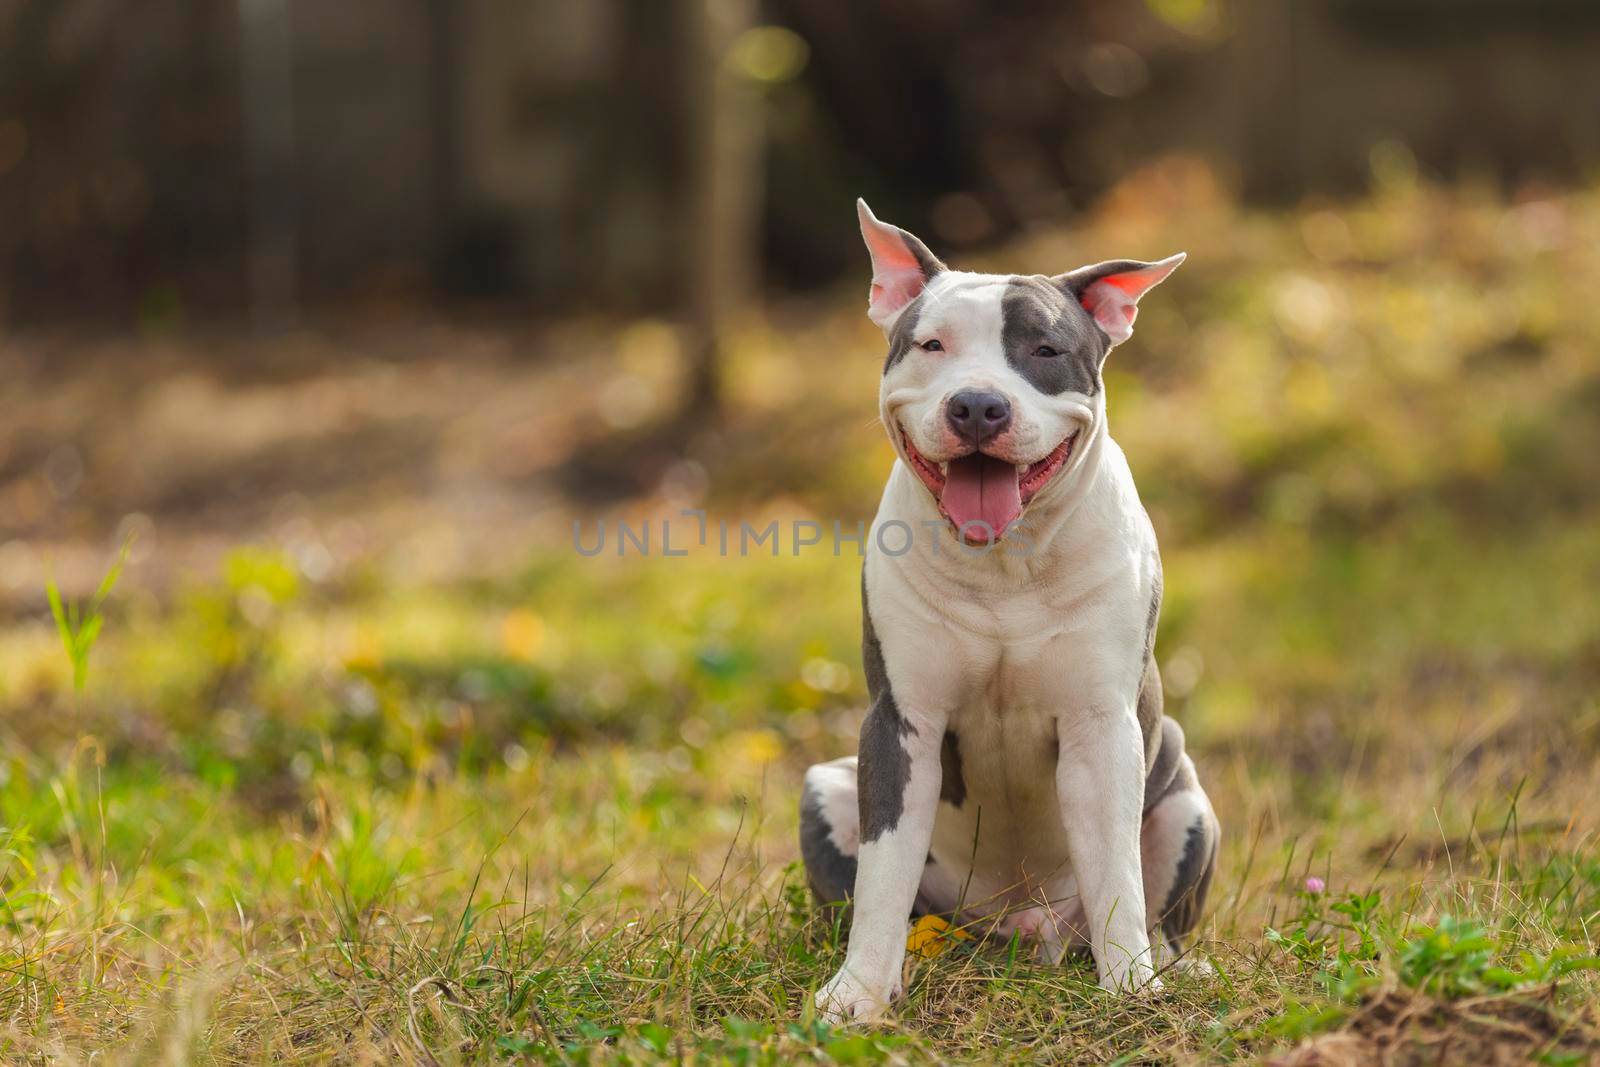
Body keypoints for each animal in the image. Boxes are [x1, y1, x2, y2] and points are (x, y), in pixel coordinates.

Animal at [806, 202, 1216, 1023]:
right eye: (931, 344)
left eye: (1046, 350)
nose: (977, 404)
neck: (1005, 568)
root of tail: (1021, 932)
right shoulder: (900, 723)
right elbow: (883, 871)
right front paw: (858, 992)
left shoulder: (1102, 726)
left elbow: (1116, 871)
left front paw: (1132, 986)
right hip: (825, 786)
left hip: (1188, 796)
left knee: (1156, 907)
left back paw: (1174, 965)